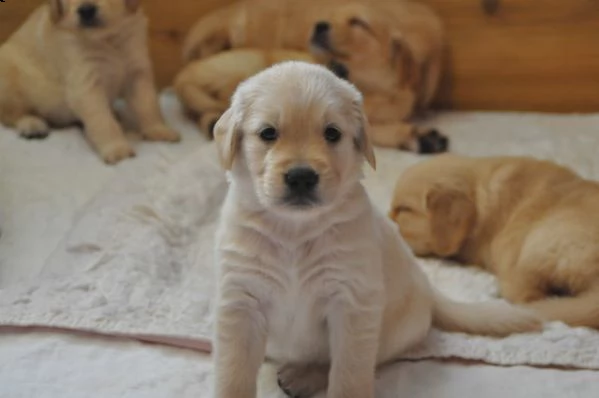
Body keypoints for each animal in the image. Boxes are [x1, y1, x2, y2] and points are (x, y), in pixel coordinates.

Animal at [0, 0, 179, 164]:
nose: (86, 10)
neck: (107, 39)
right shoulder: (86, 85)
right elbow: (102, 120)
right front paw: (116, 148)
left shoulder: (138, 73)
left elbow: (149, 105)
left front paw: (159, 130)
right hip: (8, 76)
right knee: (11, 115)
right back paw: (31, 124)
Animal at [212, 61, 544, 398]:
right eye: (268, 133)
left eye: (332, 133)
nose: (302, 177)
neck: (294, 229)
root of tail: (428, 289)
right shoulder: (240, 301)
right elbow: (233, 372)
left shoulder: (352, 303)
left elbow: (348, 373)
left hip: (390, 333)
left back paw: (304, 375)